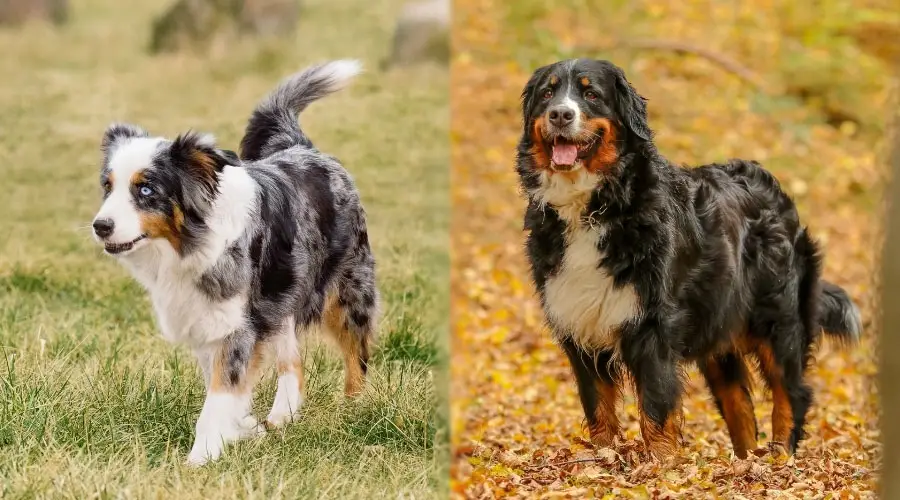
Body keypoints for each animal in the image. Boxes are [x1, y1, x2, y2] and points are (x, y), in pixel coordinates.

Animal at [88, 59, 376, 464]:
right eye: (107, 186)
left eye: (145, 189)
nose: (101, 226)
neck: (188, 246)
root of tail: (303, 147)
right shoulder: (209, 320)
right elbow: (226, 390)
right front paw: (243, 428)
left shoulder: (237, 326)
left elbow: (219, 396)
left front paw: (200, 459)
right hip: (281, 295)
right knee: (294, 361)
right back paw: (281, 418)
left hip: (347, 290)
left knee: (356, 353)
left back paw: (354, 409)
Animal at [512, 58, 856, 460]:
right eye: (548, 93)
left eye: (591, 94)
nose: (561, 114)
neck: (595, 207)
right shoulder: (578, 323)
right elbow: (598, 409)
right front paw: (601, 460)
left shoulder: (653, 326)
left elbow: (656, 409)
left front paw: (660, 465)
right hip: (718, 327)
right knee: (739, 404)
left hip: (779, 321)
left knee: (792, 394)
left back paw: (780, 457)